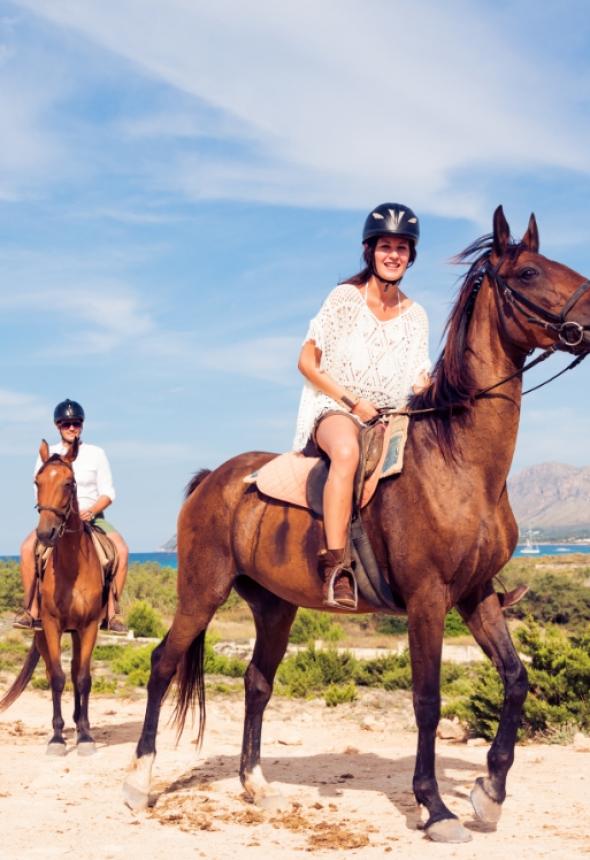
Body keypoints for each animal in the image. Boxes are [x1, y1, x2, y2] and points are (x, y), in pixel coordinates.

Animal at [0, 440, 105, 756]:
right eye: (38, 482)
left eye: (69, 483)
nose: (46, 533)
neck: (72, 565)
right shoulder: (50, 625)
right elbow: (57, 678)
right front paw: (57, 738)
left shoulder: (89, 626)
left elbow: (82, 678)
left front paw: (85, 736)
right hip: (42, 635)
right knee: (52, 672)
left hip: (76, 633)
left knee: (76, 671)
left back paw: (79, 723)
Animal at [123, 207, 590, 840]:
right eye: (531, 272)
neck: (460, 462)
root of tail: (211, 481)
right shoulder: (427, 600)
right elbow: (427, 701)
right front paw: (435, 807)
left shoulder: (476, 595)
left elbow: (516, 679)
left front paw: (489, 791)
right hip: (201, 591)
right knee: (163, 665)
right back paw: (138, 782)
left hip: (275, 606)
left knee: (256, 683)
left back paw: (256, 785)